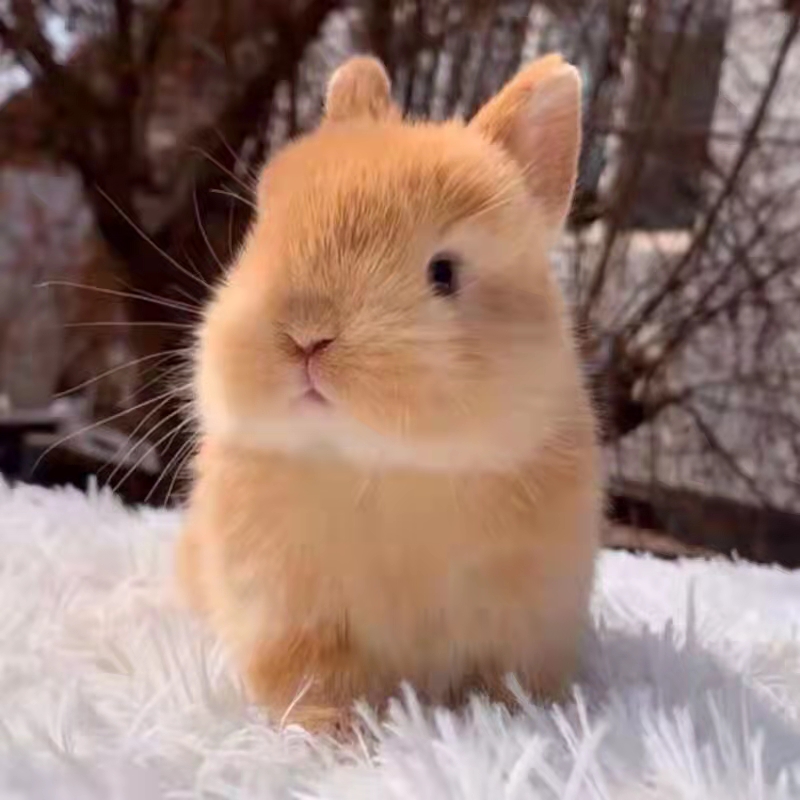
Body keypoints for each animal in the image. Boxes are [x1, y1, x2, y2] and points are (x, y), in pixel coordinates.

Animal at [176, 53, 602, 735]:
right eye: (261, 234)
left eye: (444, 273)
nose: (306, 335)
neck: (383, 465)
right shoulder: (290, 617)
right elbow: (312, 679)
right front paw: (337, 731)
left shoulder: (525, 624)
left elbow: (503, 684)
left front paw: (504, 724)